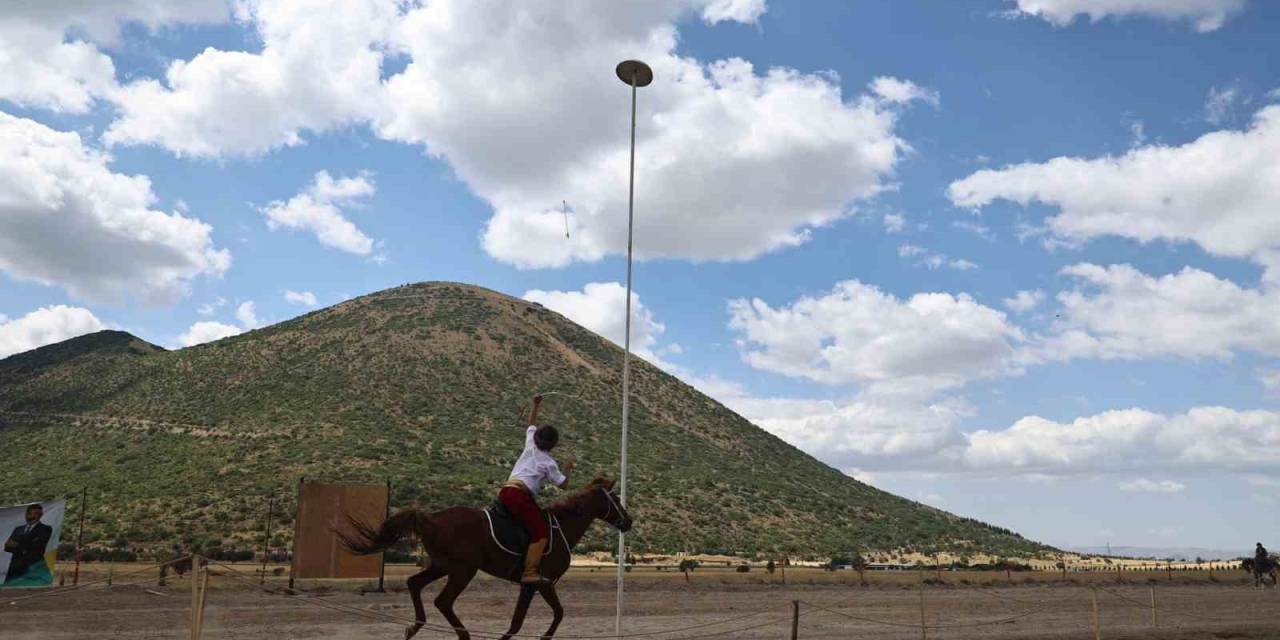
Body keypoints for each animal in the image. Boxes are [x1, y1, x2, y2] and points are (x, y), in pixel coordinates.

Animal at [340, 478, 629, 637]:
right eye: (615, 498)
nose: (629, 521)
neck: (560, 528)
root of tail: (430, 518)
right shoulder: (541, 583)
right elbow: (552, 616)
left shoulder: (531, 586)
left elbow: (520, 622)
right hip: (462, 570)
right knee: (443, 601)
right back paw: (463, 635)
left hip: (442, 566)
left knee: (414, 584)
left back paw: (414, 627)